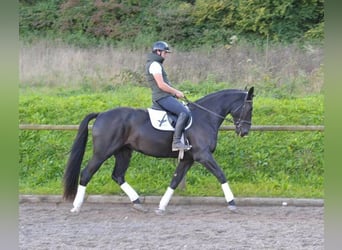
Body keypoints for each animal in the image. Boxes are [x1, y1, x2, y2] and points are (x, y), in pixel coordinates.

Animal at [62, 87, 254, 214]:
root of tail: (101, 114)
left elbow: (175, 181)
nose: (245, 132)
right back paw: (76, 206)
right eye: (249, 108)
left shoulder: (188, 159)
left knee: (118, 176)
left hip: (124, 152)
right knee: (86, 173)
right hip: (102, 152)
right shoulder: (203, 156)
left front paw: (161, 206)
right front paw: (232, 203)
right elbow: (221, 175)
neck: (205, 117)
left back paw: (138, 202)